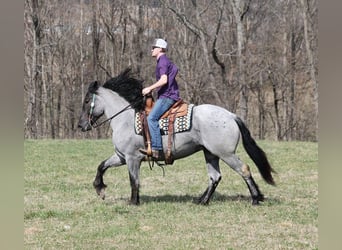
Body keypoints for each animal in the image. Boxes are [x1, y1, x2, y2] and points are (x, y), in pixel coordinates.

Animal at [77, 68, 276, 205]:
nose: (81, 125)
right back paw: (202, 200)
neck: (125, 119)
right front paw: (100, 189)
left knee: (244, 169)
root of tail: (231, 115)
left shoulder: (132, 158)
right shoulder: (121, 157)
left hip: (226, 153)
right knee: (215, 177)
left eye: (87, 101)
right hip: (210, 153)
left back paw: (256, 198)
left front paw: (133, 202)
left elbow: (134, 180)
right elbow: (102, 166)